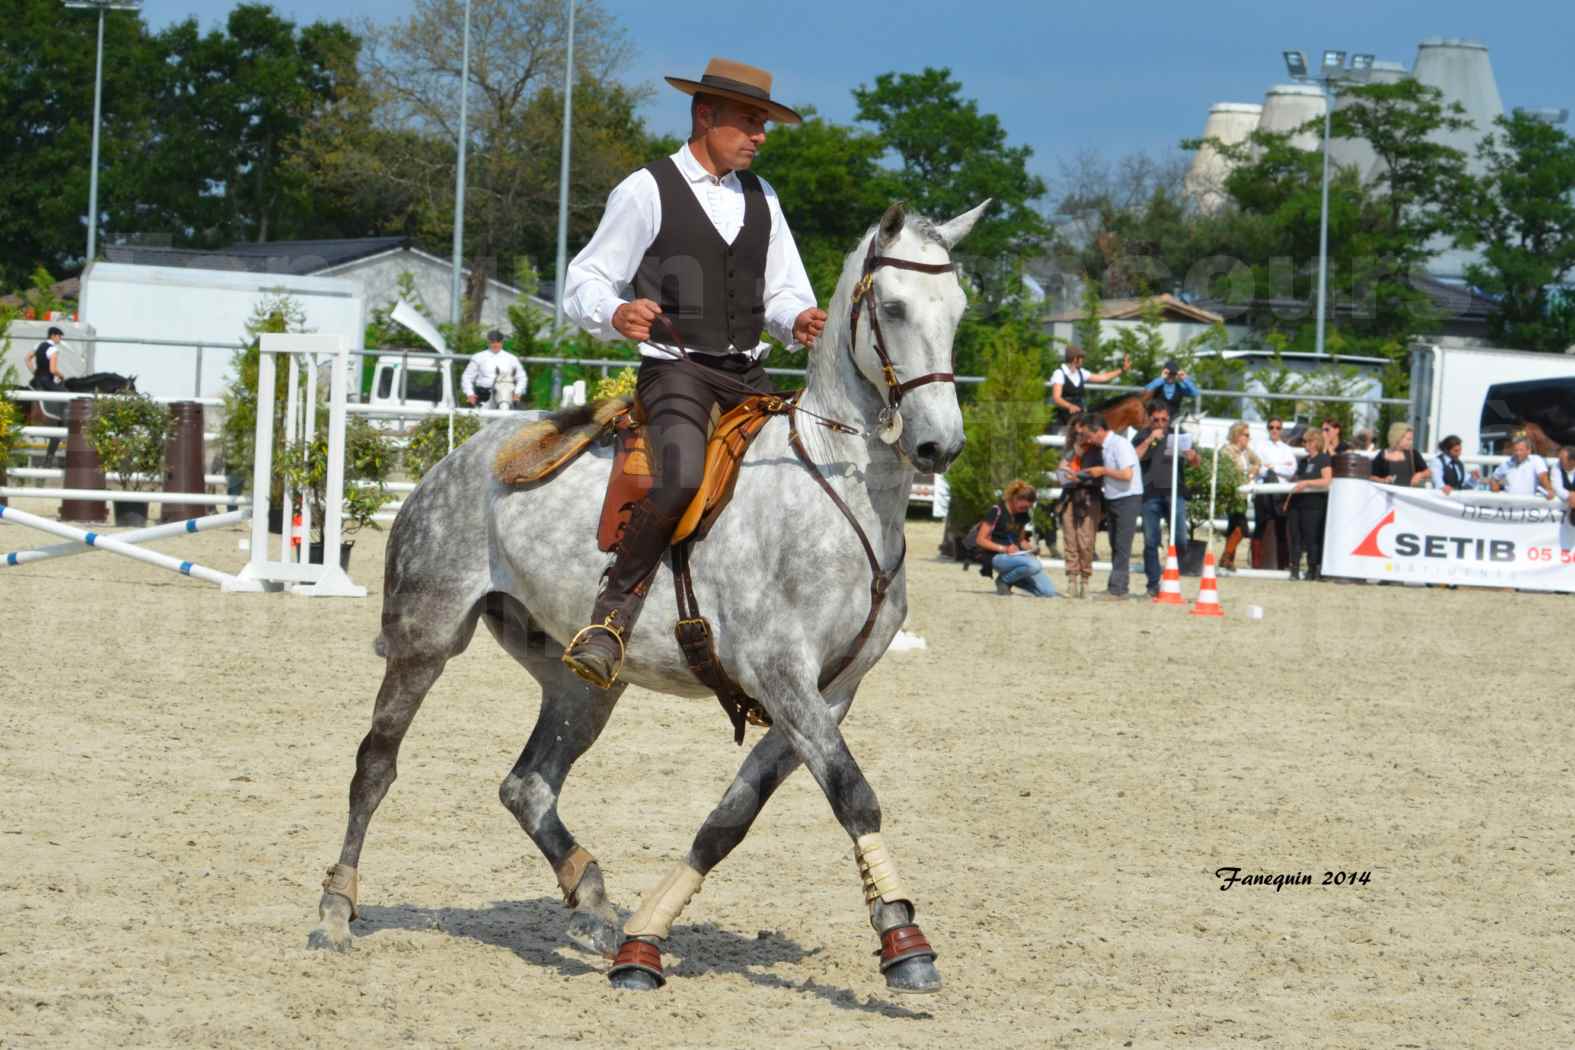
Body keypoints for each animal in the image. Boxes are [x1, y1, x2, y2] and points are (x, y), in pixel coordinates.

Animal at [310, 201, 982, 1001]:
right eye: (894, 307)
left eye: (958, 310)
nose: (940, 447)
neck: (832, 487)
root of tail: (458, 458)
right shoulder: (782, 675)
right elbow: (853, 794)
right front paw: (905, 943)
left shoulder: (829, 692)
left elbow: (728, 821)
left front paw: (643, 941)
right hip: (425, 639)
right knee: (375, 765)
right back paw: (336, 910)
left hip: (583, 683)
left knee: (527, 785)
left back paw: (596, 910)